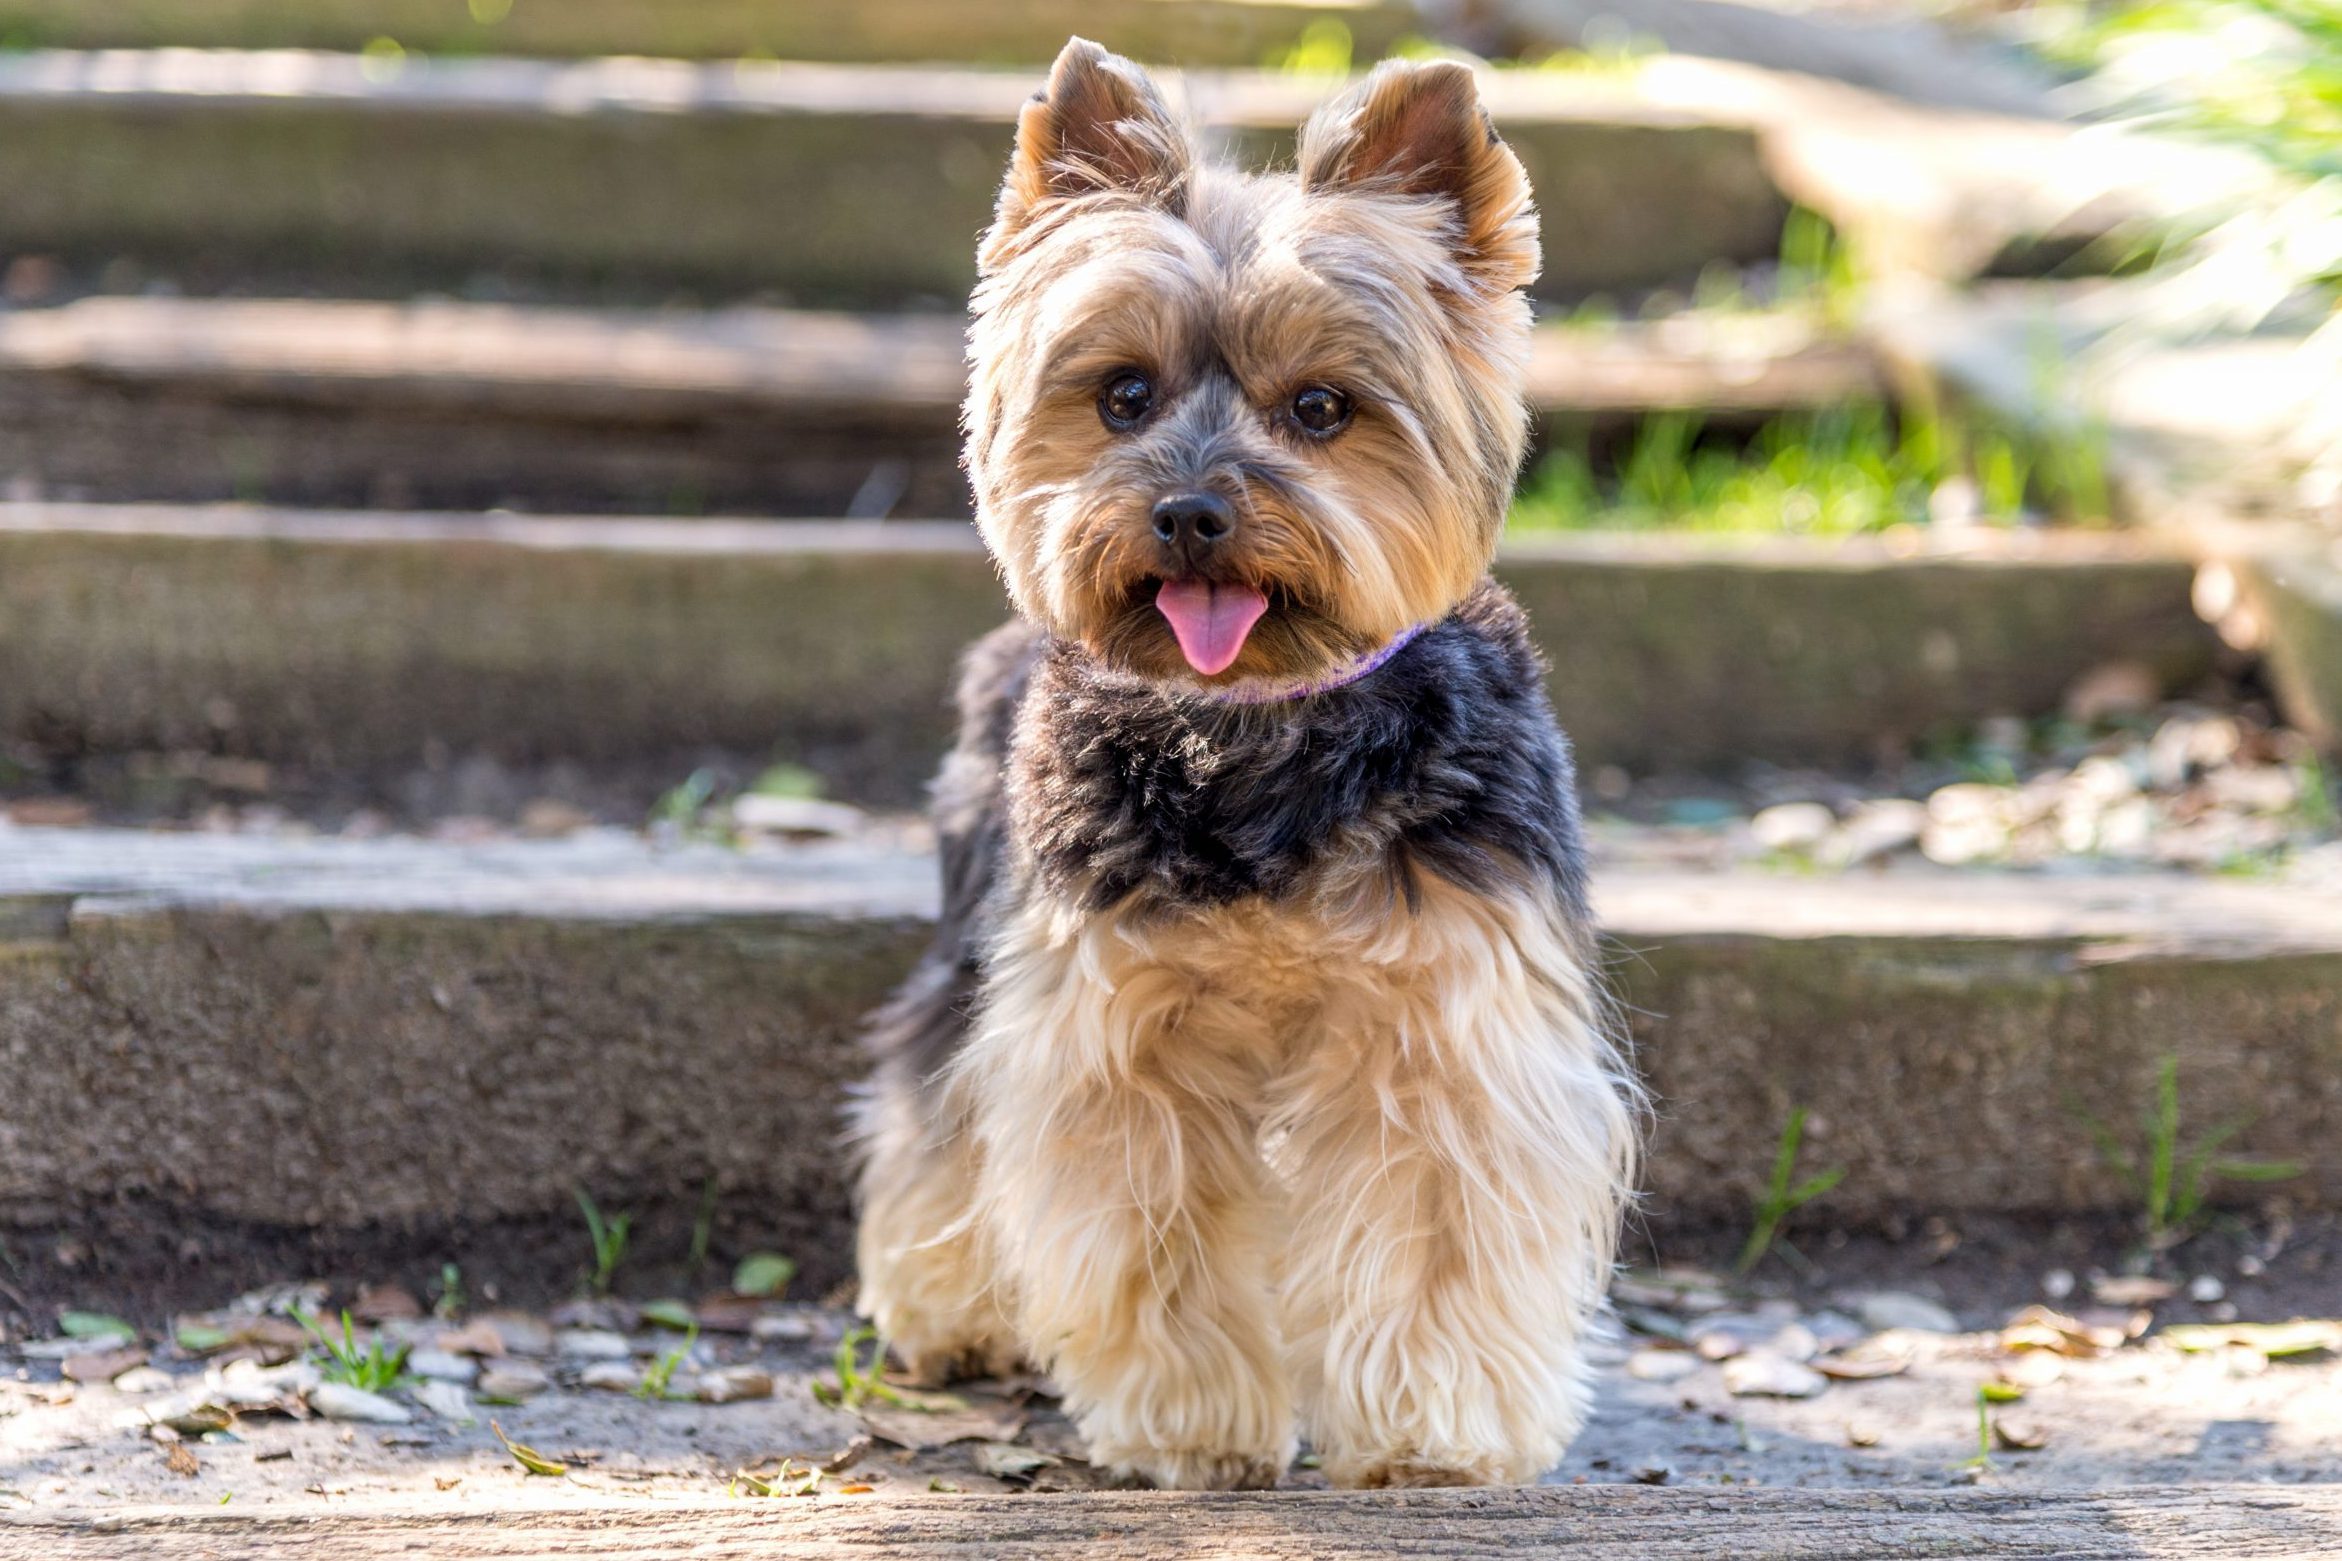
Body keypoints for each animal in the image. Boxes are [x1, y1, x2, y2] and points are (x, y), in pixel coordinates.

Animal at [852, 39, 1639, 1488]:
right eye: (1121, 395)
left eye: (1321, 408)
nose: (1188, 510)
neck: (1254, 732)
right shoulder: (1114, 1022)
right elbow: (1147, 1223)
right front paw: (1194, 1427)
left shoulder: (1445, 1014)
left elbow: (1435, 1210)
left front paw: (1429, 1430)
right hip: (974, 918)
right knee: (928, 1093)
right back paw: (948, 1311)